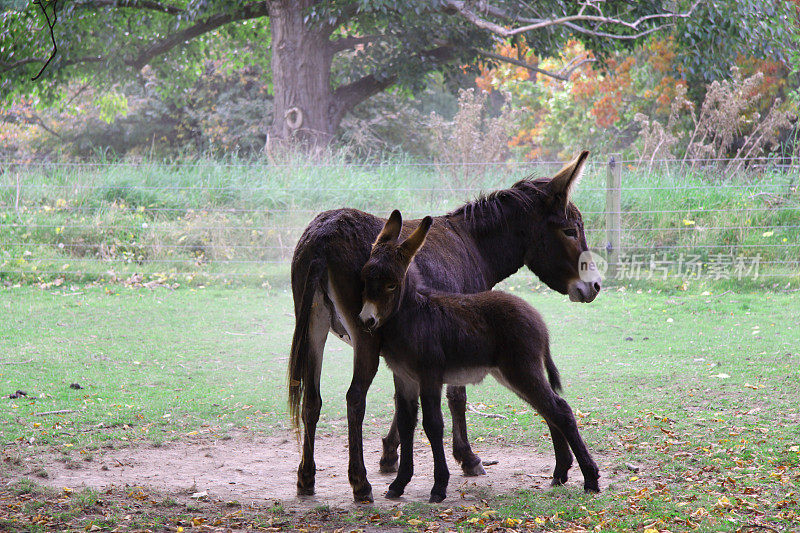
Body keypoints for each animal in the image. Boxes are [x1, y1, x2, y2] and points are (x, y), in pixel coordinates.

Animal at [360, 210, 596, 500]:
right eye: (365, 278)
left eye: (392, 285)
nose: (366, 321)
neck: (411, 316)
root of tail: (539, 322)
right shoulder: (405, 378)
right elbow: (406, 425)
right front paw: (399, 484)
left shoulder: (430, 376)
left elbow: (433, 425)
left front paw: (439, 487)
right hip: (511, 373)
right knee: (549, 410)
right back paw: (560, 473)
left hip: (521, 370)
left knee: (560, 410)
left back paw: (590, 479)